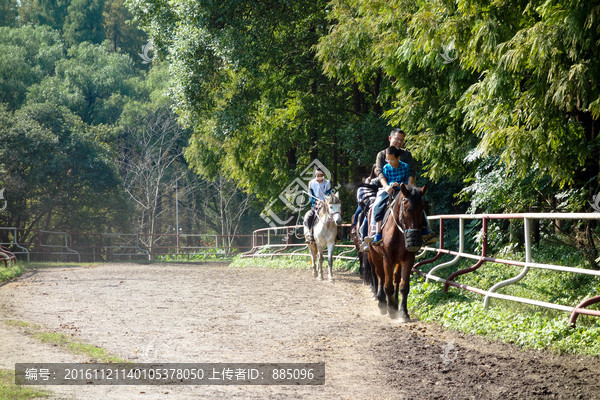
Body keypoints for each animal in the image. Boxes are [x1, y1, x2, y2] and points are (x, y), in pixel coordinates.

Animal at [366, 184, 426, 322]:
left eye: (422, 209)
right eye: (406, 209)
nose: (414, 240)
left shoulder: (408, 259)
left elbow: (404, 286)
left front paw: (403, 312)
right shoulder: (387, 259)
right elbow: (387, 285)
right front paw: (390, 309)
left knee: (396, 279)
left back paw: (395, 302)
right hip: (375, 255)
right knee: (380, 276)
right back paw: (382, 302)